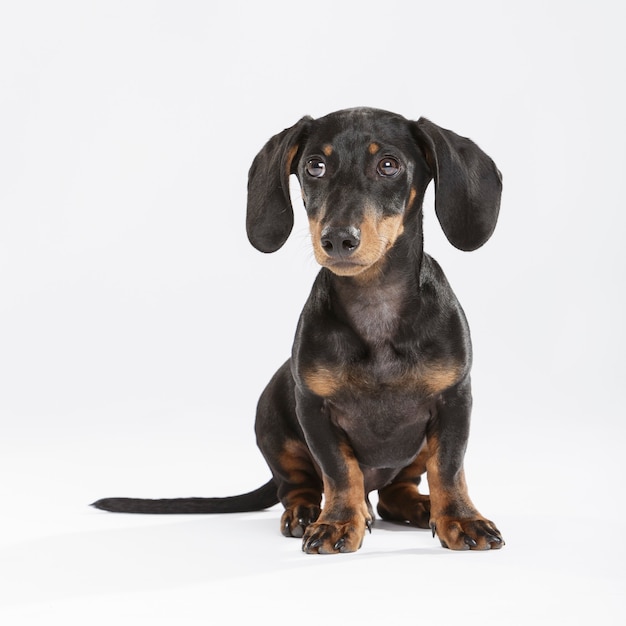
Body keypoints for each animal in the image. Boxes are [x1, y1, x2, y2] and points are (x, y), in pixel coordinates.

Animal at [92, 107, 502, 552]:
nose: (338, 238)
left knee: (396, 493)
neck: (375, 306)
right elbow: (340, 472)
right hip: (273, 419)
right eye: (314, 166)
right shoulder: (313, 409)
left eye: (389, 165)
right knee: (300, 486)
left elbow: (449, 467)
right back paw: (309, 513)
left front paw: (461, 519)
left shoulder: (454, 401)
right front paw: (338, 522)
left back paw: (419, 506)